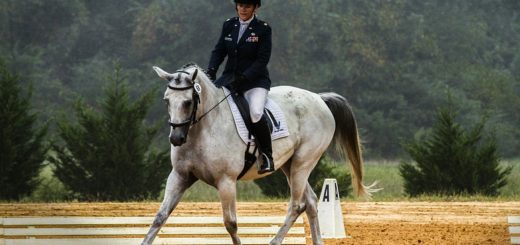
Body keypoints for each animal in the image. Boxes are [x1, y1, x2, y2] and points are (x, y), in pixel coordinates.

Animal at [142, 64, 378, 244]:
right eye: (166, 100)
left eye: (188, 102)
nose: (176, 139)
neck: (202, 129)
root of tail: (320, 99)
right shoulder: (180, 176)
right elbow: (160, 217)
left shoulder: (226, 182)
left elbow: (230, 223)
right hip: (289, 166)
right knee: (310, 202)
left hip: (303, 162)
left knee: (297, 205)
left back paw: (274, 241)